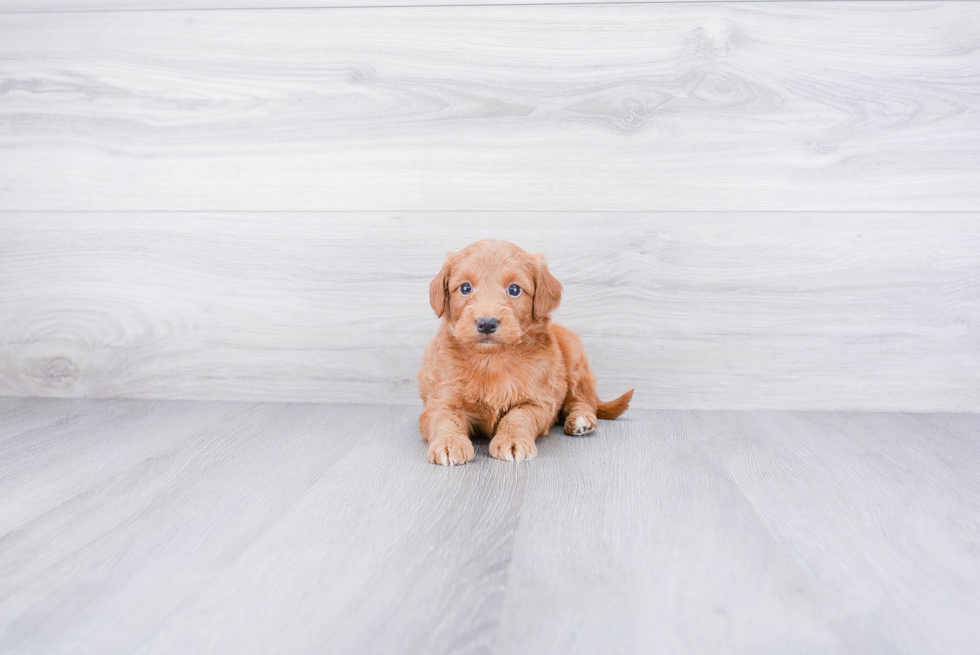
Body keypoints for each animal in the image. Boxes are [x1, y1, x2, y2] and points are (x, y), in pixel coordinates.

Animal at [416, 241, 632, 466]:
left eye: (514, 289)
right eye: (465, 288)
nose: (487, 323)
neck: (491, 359)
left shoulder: (539, 402)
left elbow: (518, 416)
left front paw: (513, 440)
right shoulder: (440, 400)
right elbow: (445, 419)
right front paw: (449, 443)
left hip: (574, 358)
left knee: (582, 400)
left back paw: (581, 420)